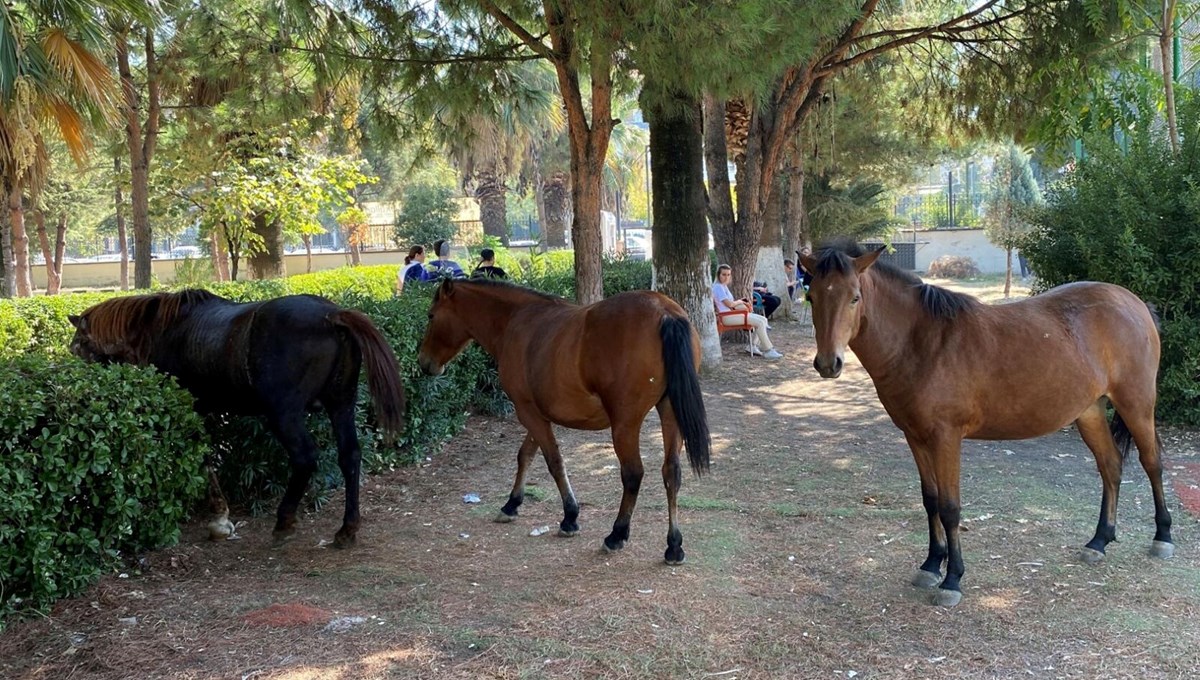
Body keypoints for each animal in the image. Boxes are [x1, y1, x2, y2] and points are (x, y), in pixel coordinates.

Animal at [68, 290, 405, 551]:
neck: (156, 330)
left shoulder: (194, 408)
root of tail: (331, 315)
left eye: (78, 347)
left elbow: (204, 456)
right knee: (350, 456)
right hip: (342, 403)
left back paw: (284, 520)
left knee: (305, 458)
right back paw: (347, 528)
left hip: (284, 412)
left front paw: (219, 517)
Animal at [415, 279, 710, 566]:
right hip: (669, 412)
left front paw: (569, 516)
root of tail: (664, 312)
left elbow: (554, 462)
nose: (424, 363)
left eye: (431, 316)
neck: (515, 320)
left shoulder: (528, 412)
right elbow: (526, 455)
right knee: (671, 472)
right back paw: (673, 545)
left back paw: (617, 534)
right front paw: (513, 503)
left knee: (633, 474)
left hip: (625, 425)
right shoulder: (538, 414)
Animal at [806, 243, 1171, 606]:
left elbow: (950, 507)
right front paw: (931, 564)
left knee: (1152, 463)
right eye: (811, 296)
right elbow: (930, 501)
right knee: (1111, 466)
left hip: (1136, 404)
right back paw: (1099, 541)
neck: (923, 343)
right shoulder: (915, 437)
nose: (828, 363)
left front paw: (952, 579)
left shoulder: (946, 438)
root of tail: (1135, 303)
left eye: (854, 297)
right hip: (1090, 412)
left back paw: (1163, 537)